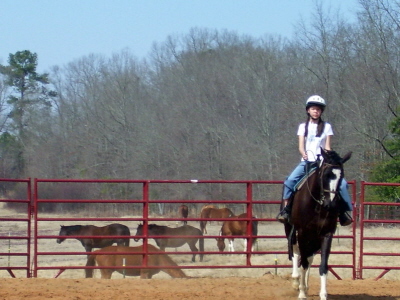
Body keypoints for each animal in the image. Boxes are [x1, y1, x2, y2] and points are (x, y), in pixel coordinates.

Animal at [282, 149, 352, 298]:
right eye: (326, 175)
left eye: (341, 176)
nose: (330, 204)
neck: (318, 205)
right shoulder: (302, 232)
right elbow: (303, 262)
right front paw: (302, 293)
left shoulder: (326, 234)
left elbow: (322, 265)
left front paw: (323, 294)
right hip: (292, 230)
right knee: (297, 253)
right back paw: (296, 282)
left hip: (313, 237)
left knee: (309, 257)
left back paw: (306, 285)